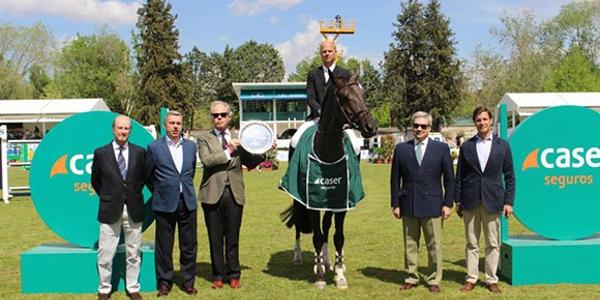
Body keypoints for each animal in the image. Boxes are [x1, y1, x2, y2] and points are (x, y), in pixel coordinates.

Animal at [282, 73, 376, 288]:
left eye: (362, 94)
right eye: (345, 97)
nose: (371, 127)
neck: (328, 152)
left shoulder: (341, 203)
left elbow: (337, 236)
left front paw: (339, 274)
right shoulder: (311, 203)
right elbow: (316, 237)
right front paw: (319, 277)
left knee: (326, 227)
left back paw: (325, 261)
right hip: (299, 198)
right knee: (300, 224)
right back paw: (299, 257)